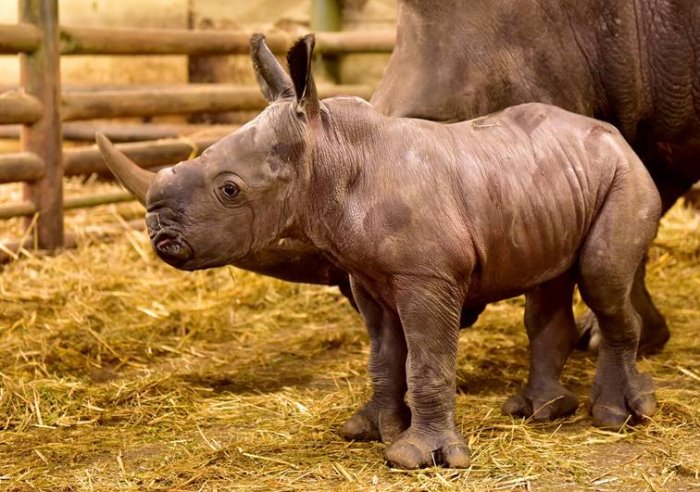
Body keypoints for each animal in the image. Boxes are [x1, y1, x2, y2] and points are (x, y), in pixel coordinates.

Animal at [97, 35, 660, 468]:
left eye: (230, 190)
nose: (160, 235)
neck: (330, 152)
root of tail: (614, 137)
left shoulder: (428, 276)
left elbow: (427, 361)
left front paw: (416, 458)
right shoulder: (367, 274)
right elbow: (385, 357)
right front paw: (366, 430)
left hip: (624, 175)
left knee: (603, 278)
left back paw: (618, 415)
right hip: (546, 179)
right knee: (547, 283)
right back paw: (537, 411)